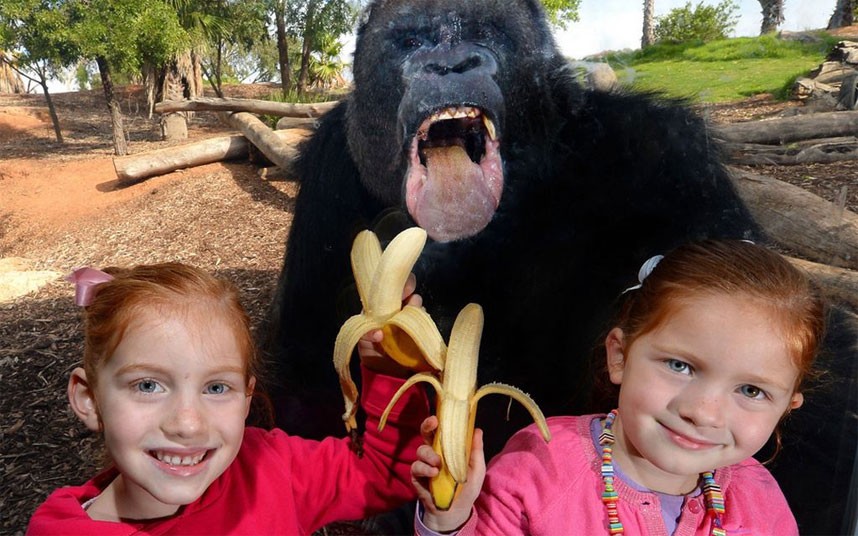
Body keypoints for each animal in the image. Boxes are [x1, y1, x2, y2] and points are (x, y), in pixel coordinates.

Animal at [268, 0, 856, 532]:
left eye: (485, 32)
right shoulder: (325, 173)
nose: (450, 63)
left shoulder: (664, 155)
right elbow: (304, 375)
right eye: (411, 41)